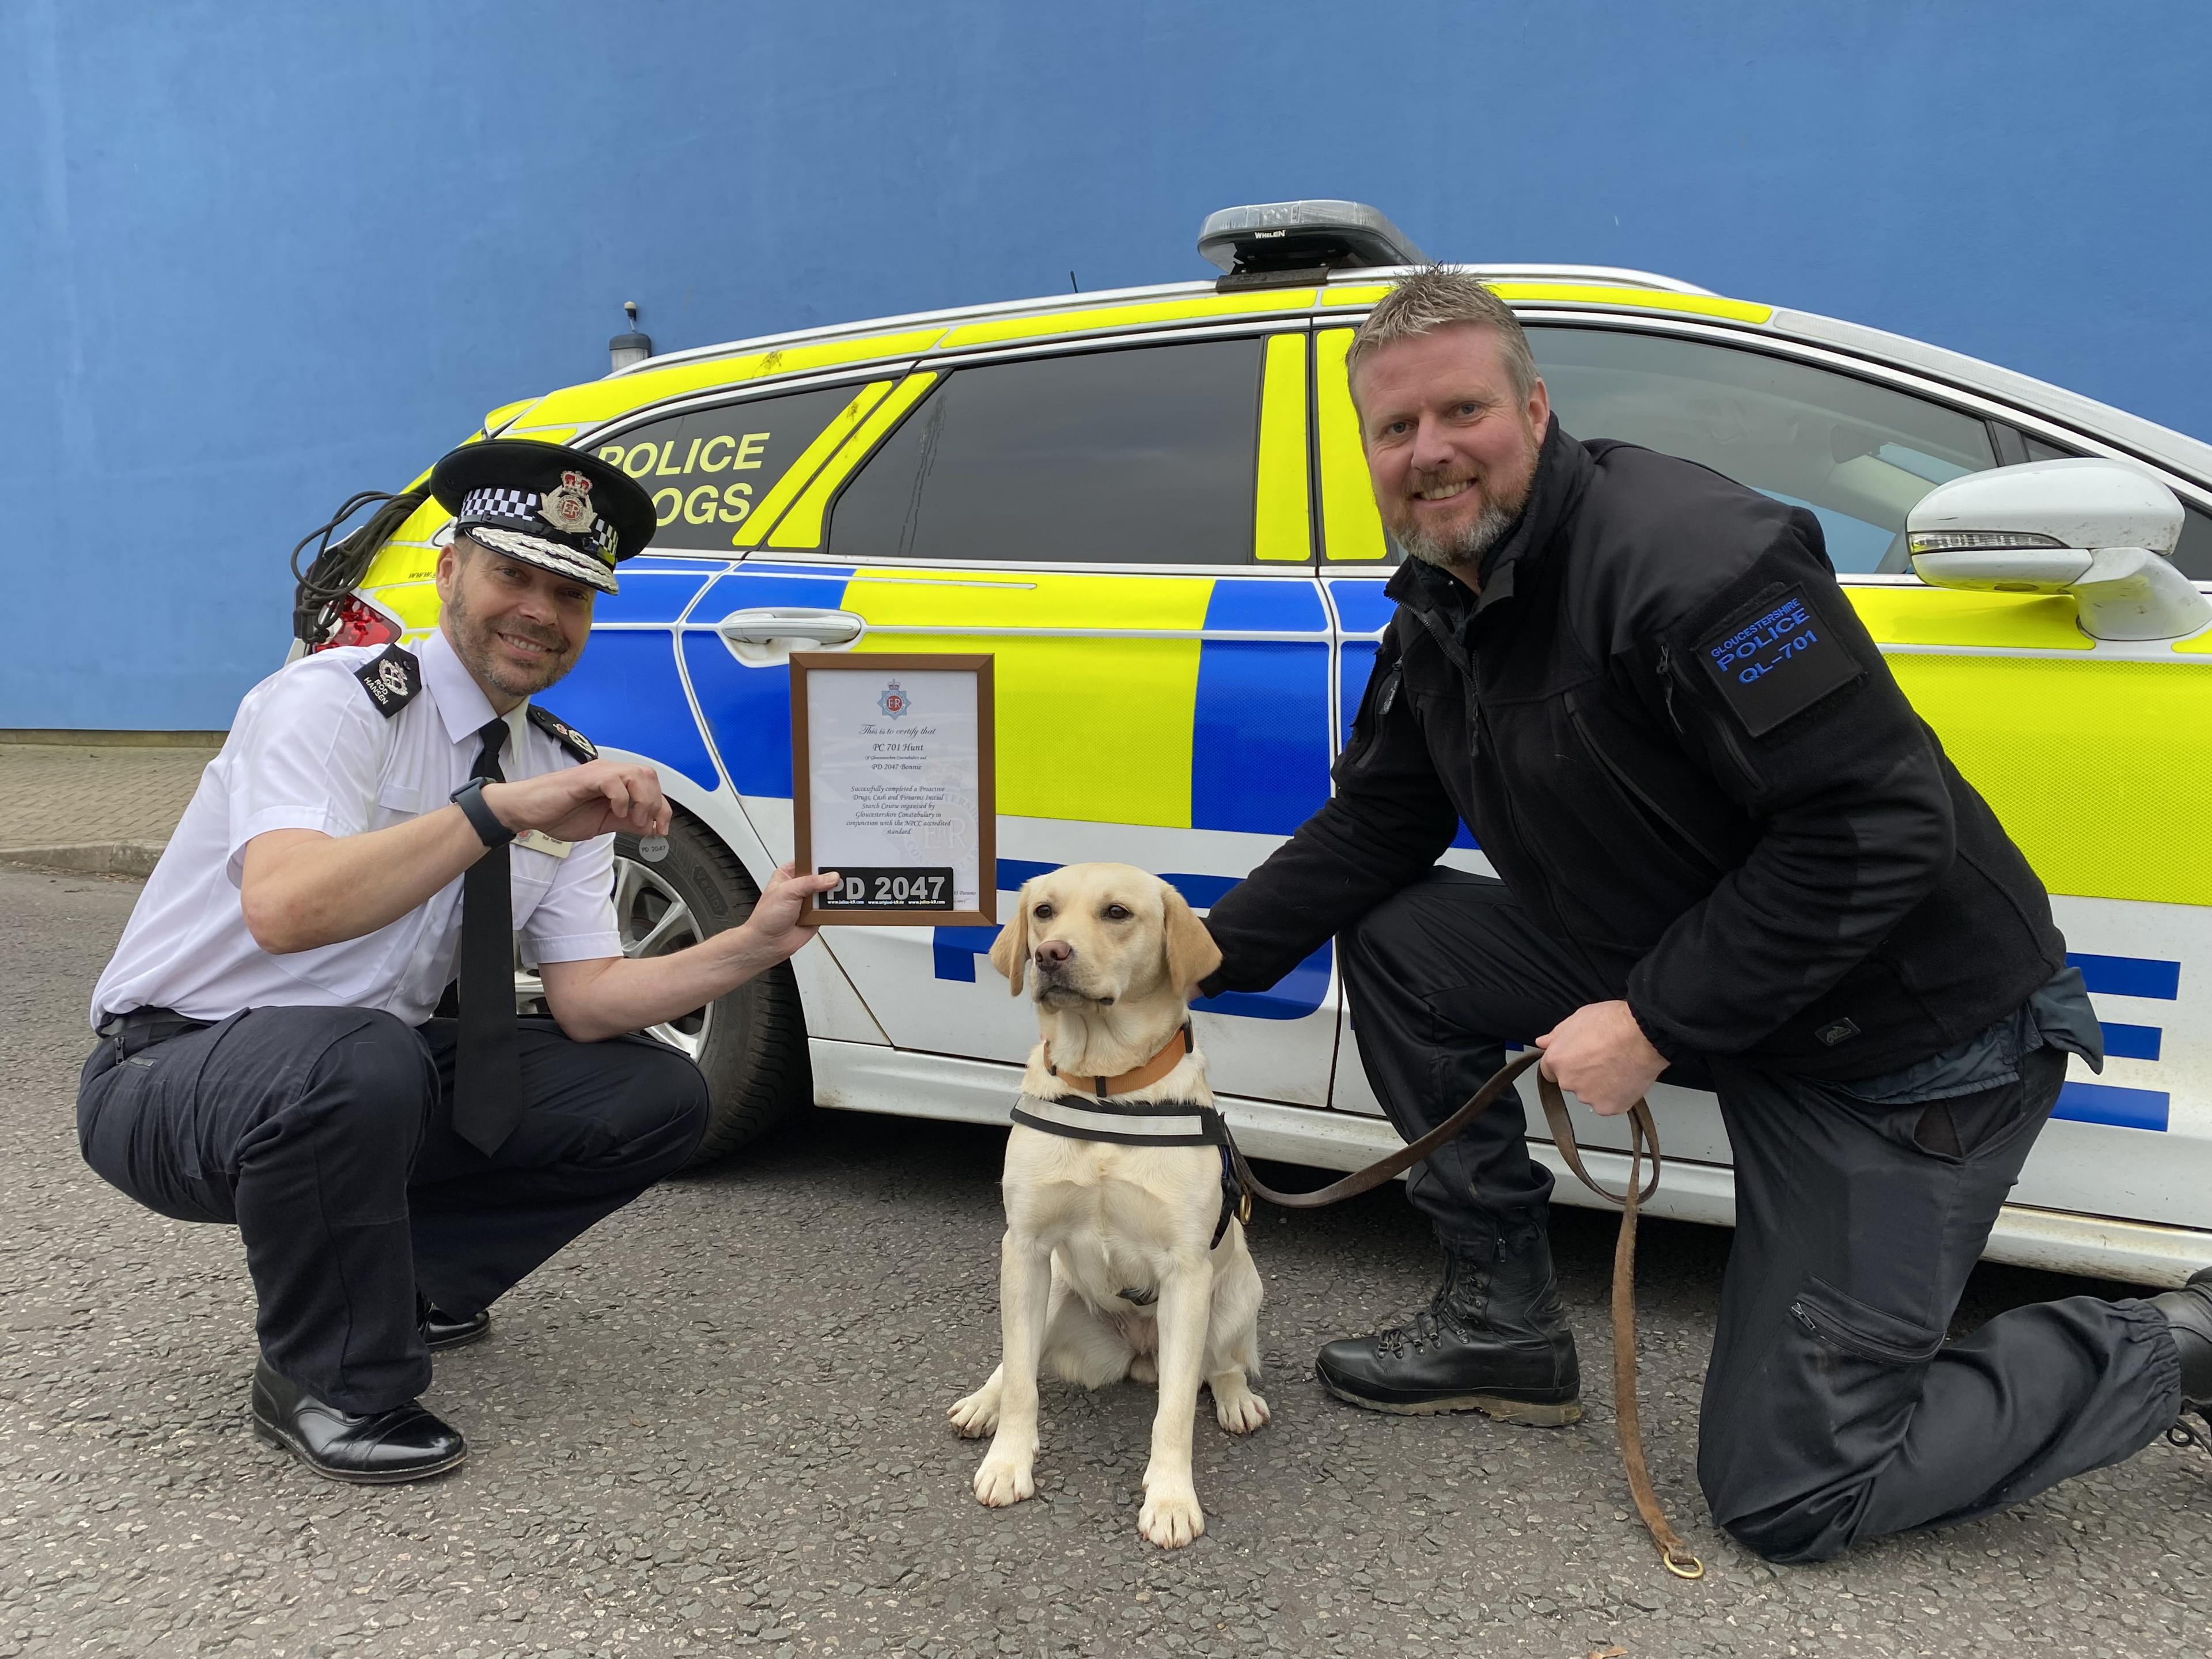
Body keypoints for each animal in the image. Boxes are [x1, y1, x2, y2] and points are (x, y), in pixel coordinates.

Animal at [942, 862, 1274, 1557]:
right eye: (1043, 911)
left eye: (1117, 913)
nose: (1049, 954)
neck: (1105, 1088)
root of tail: (1140, 1354)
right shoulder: (1025, 1247)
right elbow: (1022, 1382)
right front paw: (1008, 1462)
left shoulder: (1186, 1271)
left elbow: (1175, 1411)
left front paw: (1171, 1499)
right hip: (1053, 1294)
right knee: (1017, 1358)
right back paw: (983, 1402)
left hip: (1238, 1292)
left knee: (1221, 1364)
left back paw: (1236, 1400)